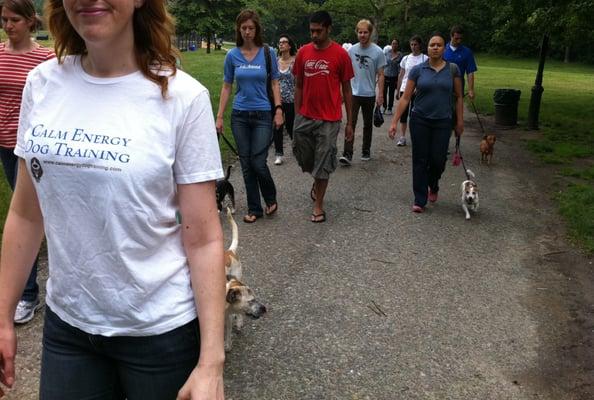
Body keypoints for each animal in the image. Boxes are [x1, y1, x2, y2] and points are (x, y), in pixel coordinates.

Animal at [223, 209, 268, 350]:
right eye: (251, 301)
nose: (264, 308)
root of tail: (230, 251)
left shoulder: (227, 317)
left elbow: (228, 332)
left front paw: (227, 345)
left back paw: (238, 322)